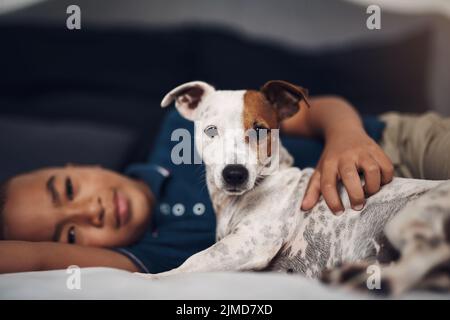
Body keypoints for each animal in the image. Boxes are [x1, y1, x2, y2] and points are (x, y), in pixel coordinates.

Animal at [141, 81, 450, 296]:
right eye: (211, 130)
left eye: (260, 129)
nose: (235, 174)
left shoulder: (250, 243)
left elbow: (189, 264)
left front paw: (147, 279)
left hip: (409, 217)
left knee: (427, 253)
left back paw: (379, 282)